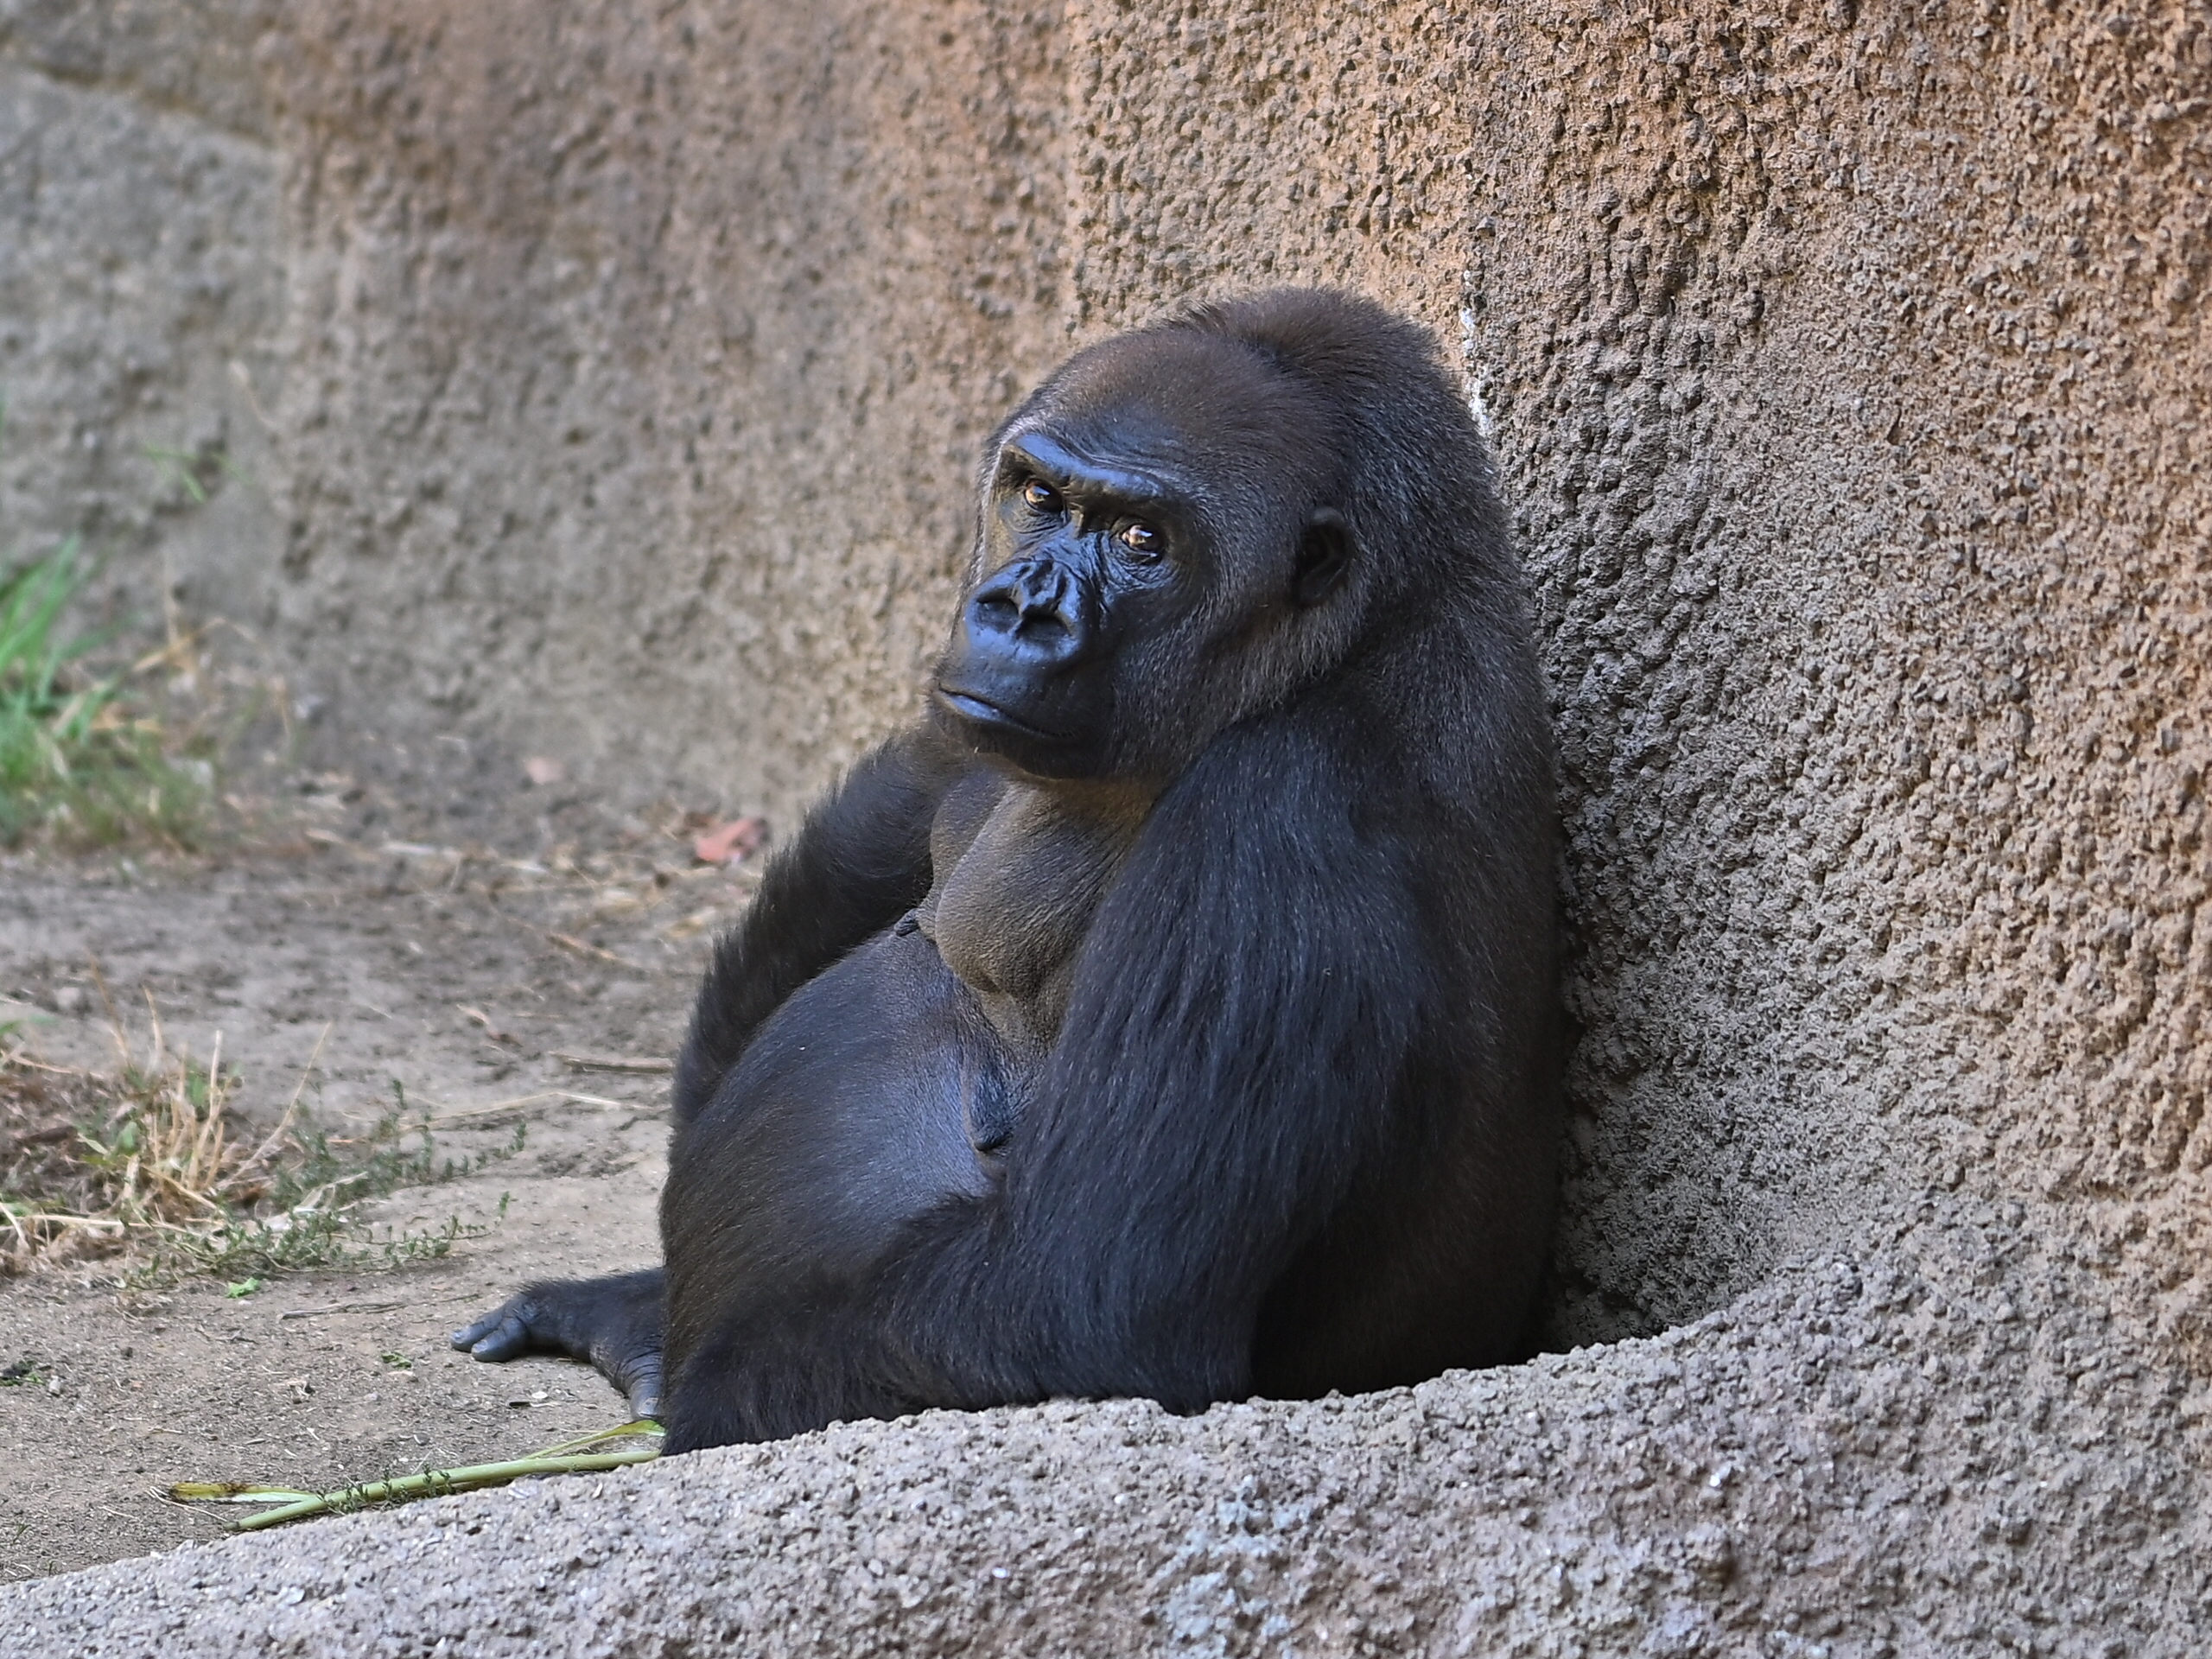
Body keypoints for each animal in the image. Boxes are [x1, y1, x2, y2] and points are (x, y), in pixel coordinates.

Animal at [454, 288, 1561, 1452]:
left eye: (1141, 540)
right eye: (1040, 497)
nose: (1020, 609)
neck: (1364, 632)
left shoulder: (1278, 820)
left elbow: (1085, 1301)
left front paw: (699, 1385)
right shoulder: (980, 720)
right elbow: (897, 810)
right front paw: (643, 1303)